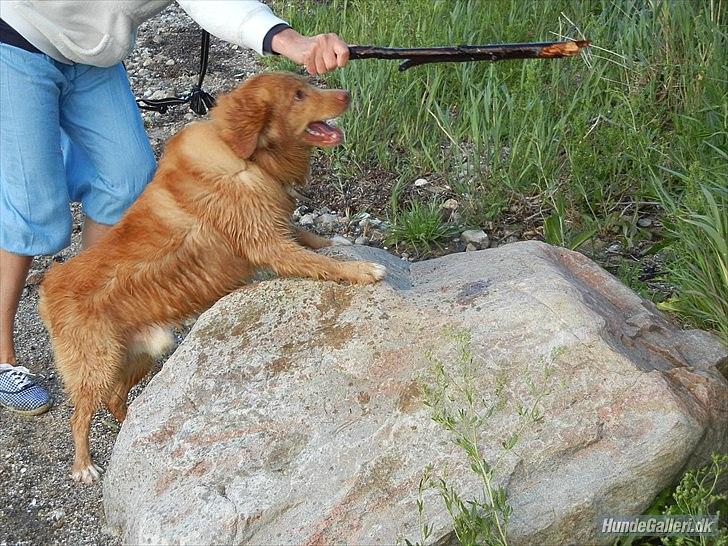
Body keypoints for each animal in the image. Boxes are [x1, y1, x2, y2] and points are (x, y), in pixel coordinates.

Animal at [39, 71, 386, 480]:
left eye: (306, 84)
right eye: (299, 95)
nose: (346, 94)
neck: (248, 155)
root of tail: (49, 286)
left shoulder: (274, 226)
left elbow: (308, 237)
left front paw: (336, 240)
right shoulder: (267, 243)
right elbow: (320, 263)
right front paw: (361, 269)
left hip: (141, 353)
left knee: (115, 398)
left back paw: (129, 425)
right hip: (98, 364)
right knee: (80, 414)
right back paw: (84, 465)